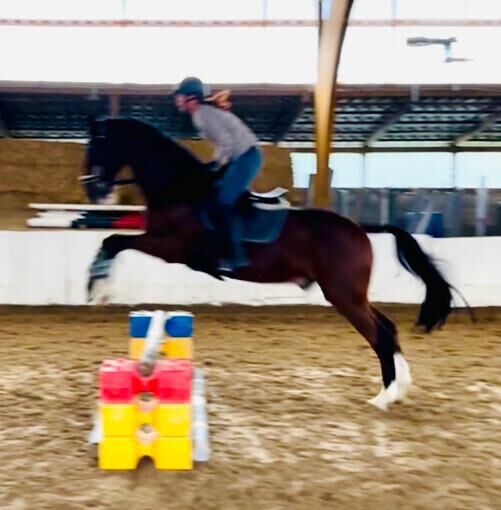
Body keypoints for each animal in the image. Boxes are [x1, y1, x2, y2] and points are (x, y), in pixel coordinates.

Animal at [82, 117, 454, 411]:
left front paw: (98, 288)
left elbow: (114, 242)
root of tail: (359, 227)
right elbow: (112, 241)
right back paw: (399, 389)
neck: (181, 189)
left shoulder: (172, 247)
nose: (93, 189)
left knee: (379, 335)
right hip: (352, 294)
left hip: (343, 295)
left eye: (97, 145)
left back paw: (384, 396)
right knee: (388, 328)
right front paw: (98, 286)